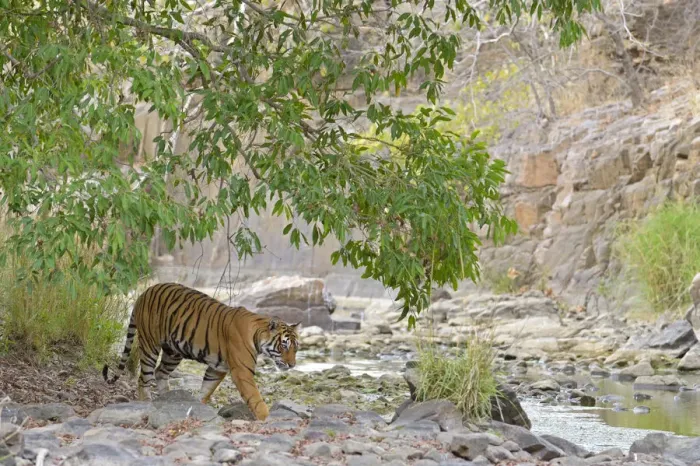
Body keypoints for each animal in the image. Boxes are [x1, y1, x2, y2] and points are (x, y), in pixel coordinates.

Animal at [102, 282, 300, 421]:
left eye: (296, 348)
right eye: (284, 346)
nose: (292, 365)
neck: (257, 333)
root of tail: (145, 292)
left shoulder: (217, 368)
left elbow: (206, 389)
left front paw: (198, 406)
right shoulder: (242, 371)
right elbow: (255, 397)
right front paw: (266, 417)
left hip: (173, 352)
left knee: (160, 373)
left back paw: (168, 398)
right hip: (150, 345)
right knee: (144, 378)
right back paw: (146, 403)